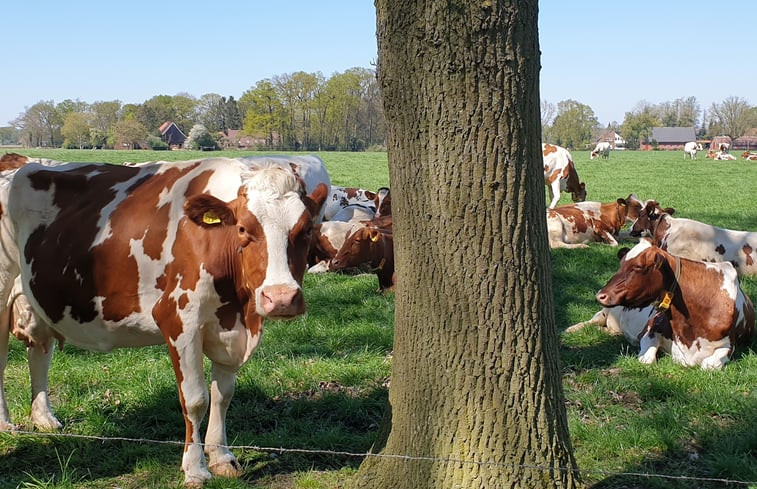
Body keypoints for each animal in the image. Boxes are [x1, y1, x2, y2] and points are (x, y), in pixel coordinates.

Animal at [1, 156, 330, 484]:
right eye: (243, 228)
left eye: (306, 230)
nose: (281, 298)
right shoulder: (180, 320)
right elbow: (195, 400)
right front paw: (196, 469)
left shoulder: (230, 328)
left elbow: (222, 396)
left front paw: (222, 458)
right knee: (3, 357)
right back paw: (6, 423)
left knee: (39, 350)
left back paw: (43, 417)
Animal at [588, 238, 752, 368]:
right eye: (621, 264)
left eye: (638, 266)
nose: (600, 295)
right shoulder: (649, 329)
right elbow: (646, 359)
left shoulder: (729, 345)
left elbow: (708, 365)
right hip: (604, 312)